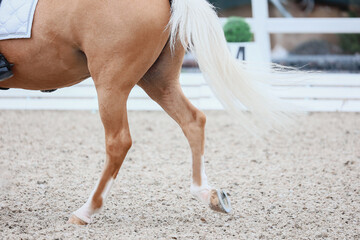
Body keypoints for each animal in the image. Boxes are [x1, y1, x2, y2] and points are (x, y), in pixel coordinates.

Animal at [0, 0, 286, 225]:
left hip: (111, 82)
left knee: (119, 142)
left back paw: (85, 211)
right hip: (158, 79)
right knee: (193, 120)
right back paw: (207, 194)